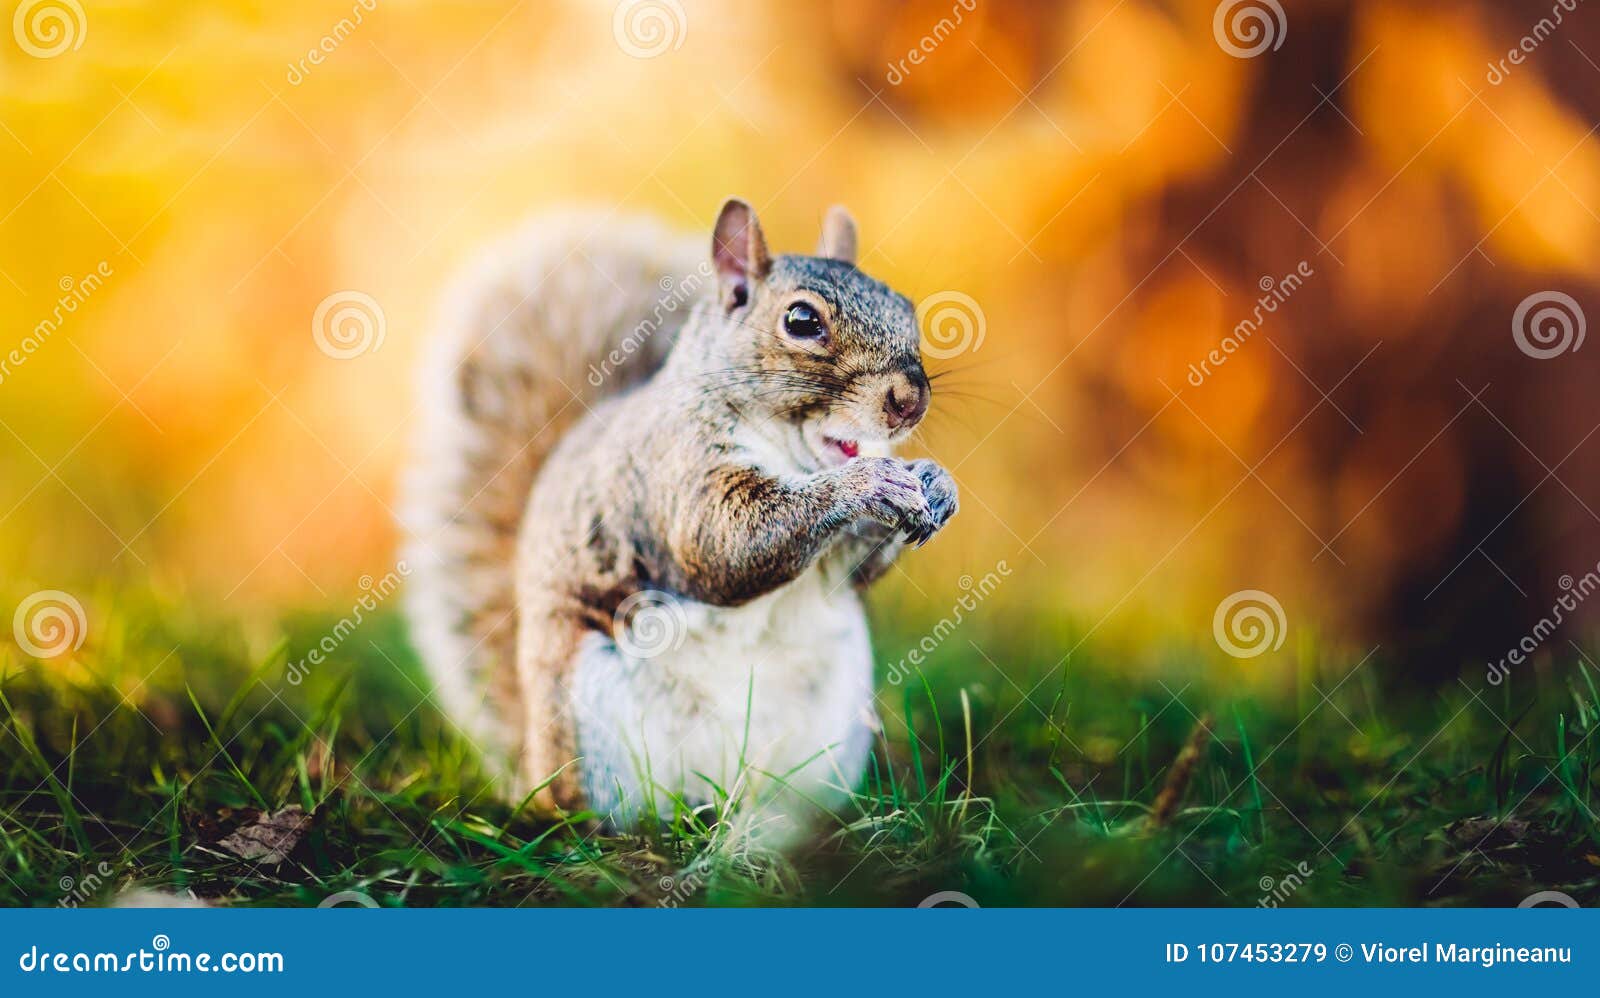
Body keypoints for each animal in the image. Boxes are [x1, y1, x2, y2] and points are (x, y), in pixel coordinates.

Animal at [400, 199, 953, 831]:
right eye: (801, 320)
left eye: (906, 307)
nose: (911, 401)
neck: (789, 452)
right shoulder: (672, 474)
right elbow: (725, 545)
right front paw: (865, 484)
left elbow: (853, 571)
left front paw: (937, 483)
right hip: (593, 719)